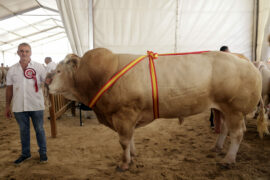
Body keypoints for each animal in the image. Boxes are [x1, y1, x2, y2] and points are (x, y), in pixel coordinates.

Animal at [48, 47, 262, 170]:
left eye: (58, 71)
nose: (46, 83)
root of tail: (242, 58)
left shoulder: (124, 114)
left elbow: (124, 141)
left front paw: (124, 163)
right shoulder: (128, 116)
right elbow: (130, 138)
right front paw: (133, 156)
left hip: (235, 110)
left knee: (237, 134)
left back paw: (228, 160)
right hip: (223, 109)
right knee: (225, 129)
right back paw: (217, 148)